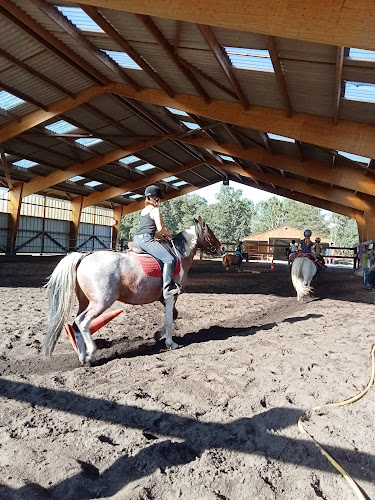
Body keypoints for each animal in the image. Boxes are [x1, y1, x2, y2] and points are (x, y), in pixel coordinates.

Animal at [42, 217, 222, 366]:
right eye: (210, 232)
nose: (222, 249)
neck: (177, 255)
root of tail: (84, 257)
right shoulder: (171, 296)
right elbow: (170, 320)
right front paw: (171, 343)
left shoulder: (166, 299)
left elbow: (174, 316)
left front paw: (157, 335)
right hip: (101, 303)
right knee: (83, 322)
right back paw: (91, 354)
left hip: (85, 302)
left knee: (75, 325)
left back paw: (82, 357)